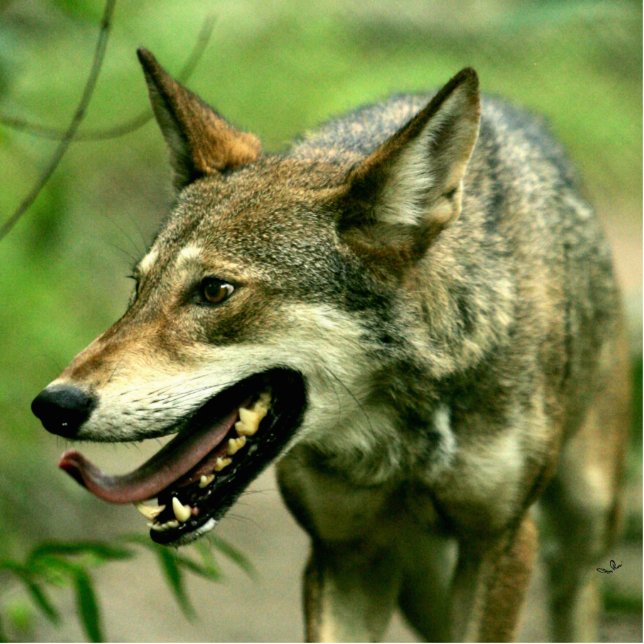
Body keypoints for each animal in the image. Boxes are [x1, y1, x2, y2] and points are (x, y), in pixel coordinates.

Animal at [31, 49, 629, 642]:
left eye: (215, 291)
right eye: (139, 287)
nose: (52, 404)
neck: (404, 435)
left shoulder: (500, 542)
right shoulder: (344, 554)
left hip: (581, 523)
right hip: (421, 579)